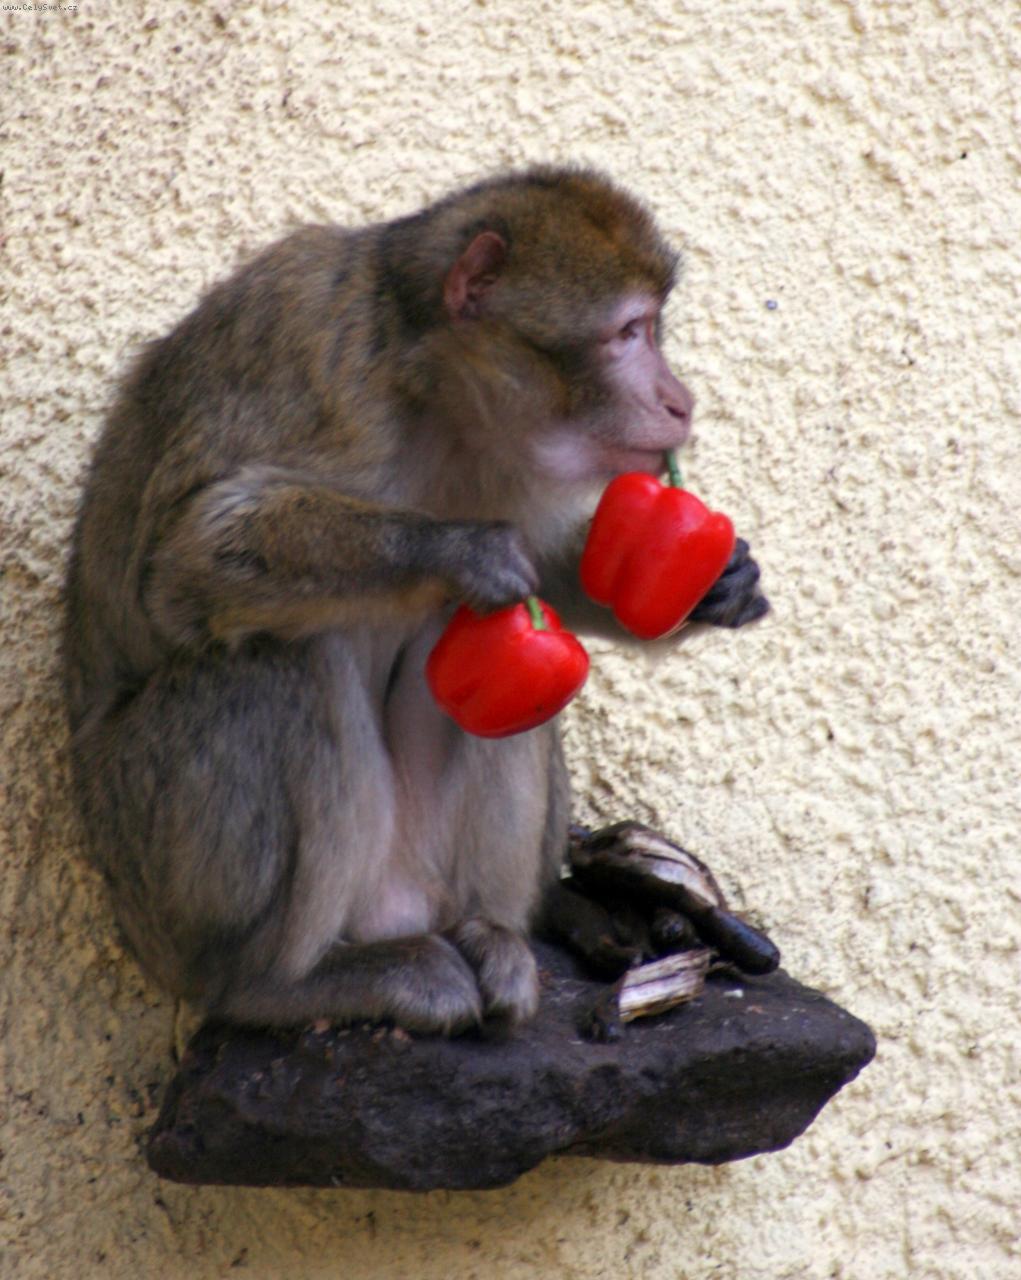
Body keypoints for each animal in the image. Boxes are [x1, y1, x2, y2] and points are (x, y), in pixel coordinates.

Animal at [63, 167, 769, 1038]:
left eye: (652, 329)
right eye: (628, 333)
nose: (679, 400)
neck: (437, 395)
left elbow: (547, 575)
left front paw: (716, 587)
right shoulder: (311, 345)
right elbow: (190, 560)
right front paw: (461, 553)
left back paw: (492, 936)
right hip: (155, 869)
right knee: (275, 658)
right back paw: (278, 983)